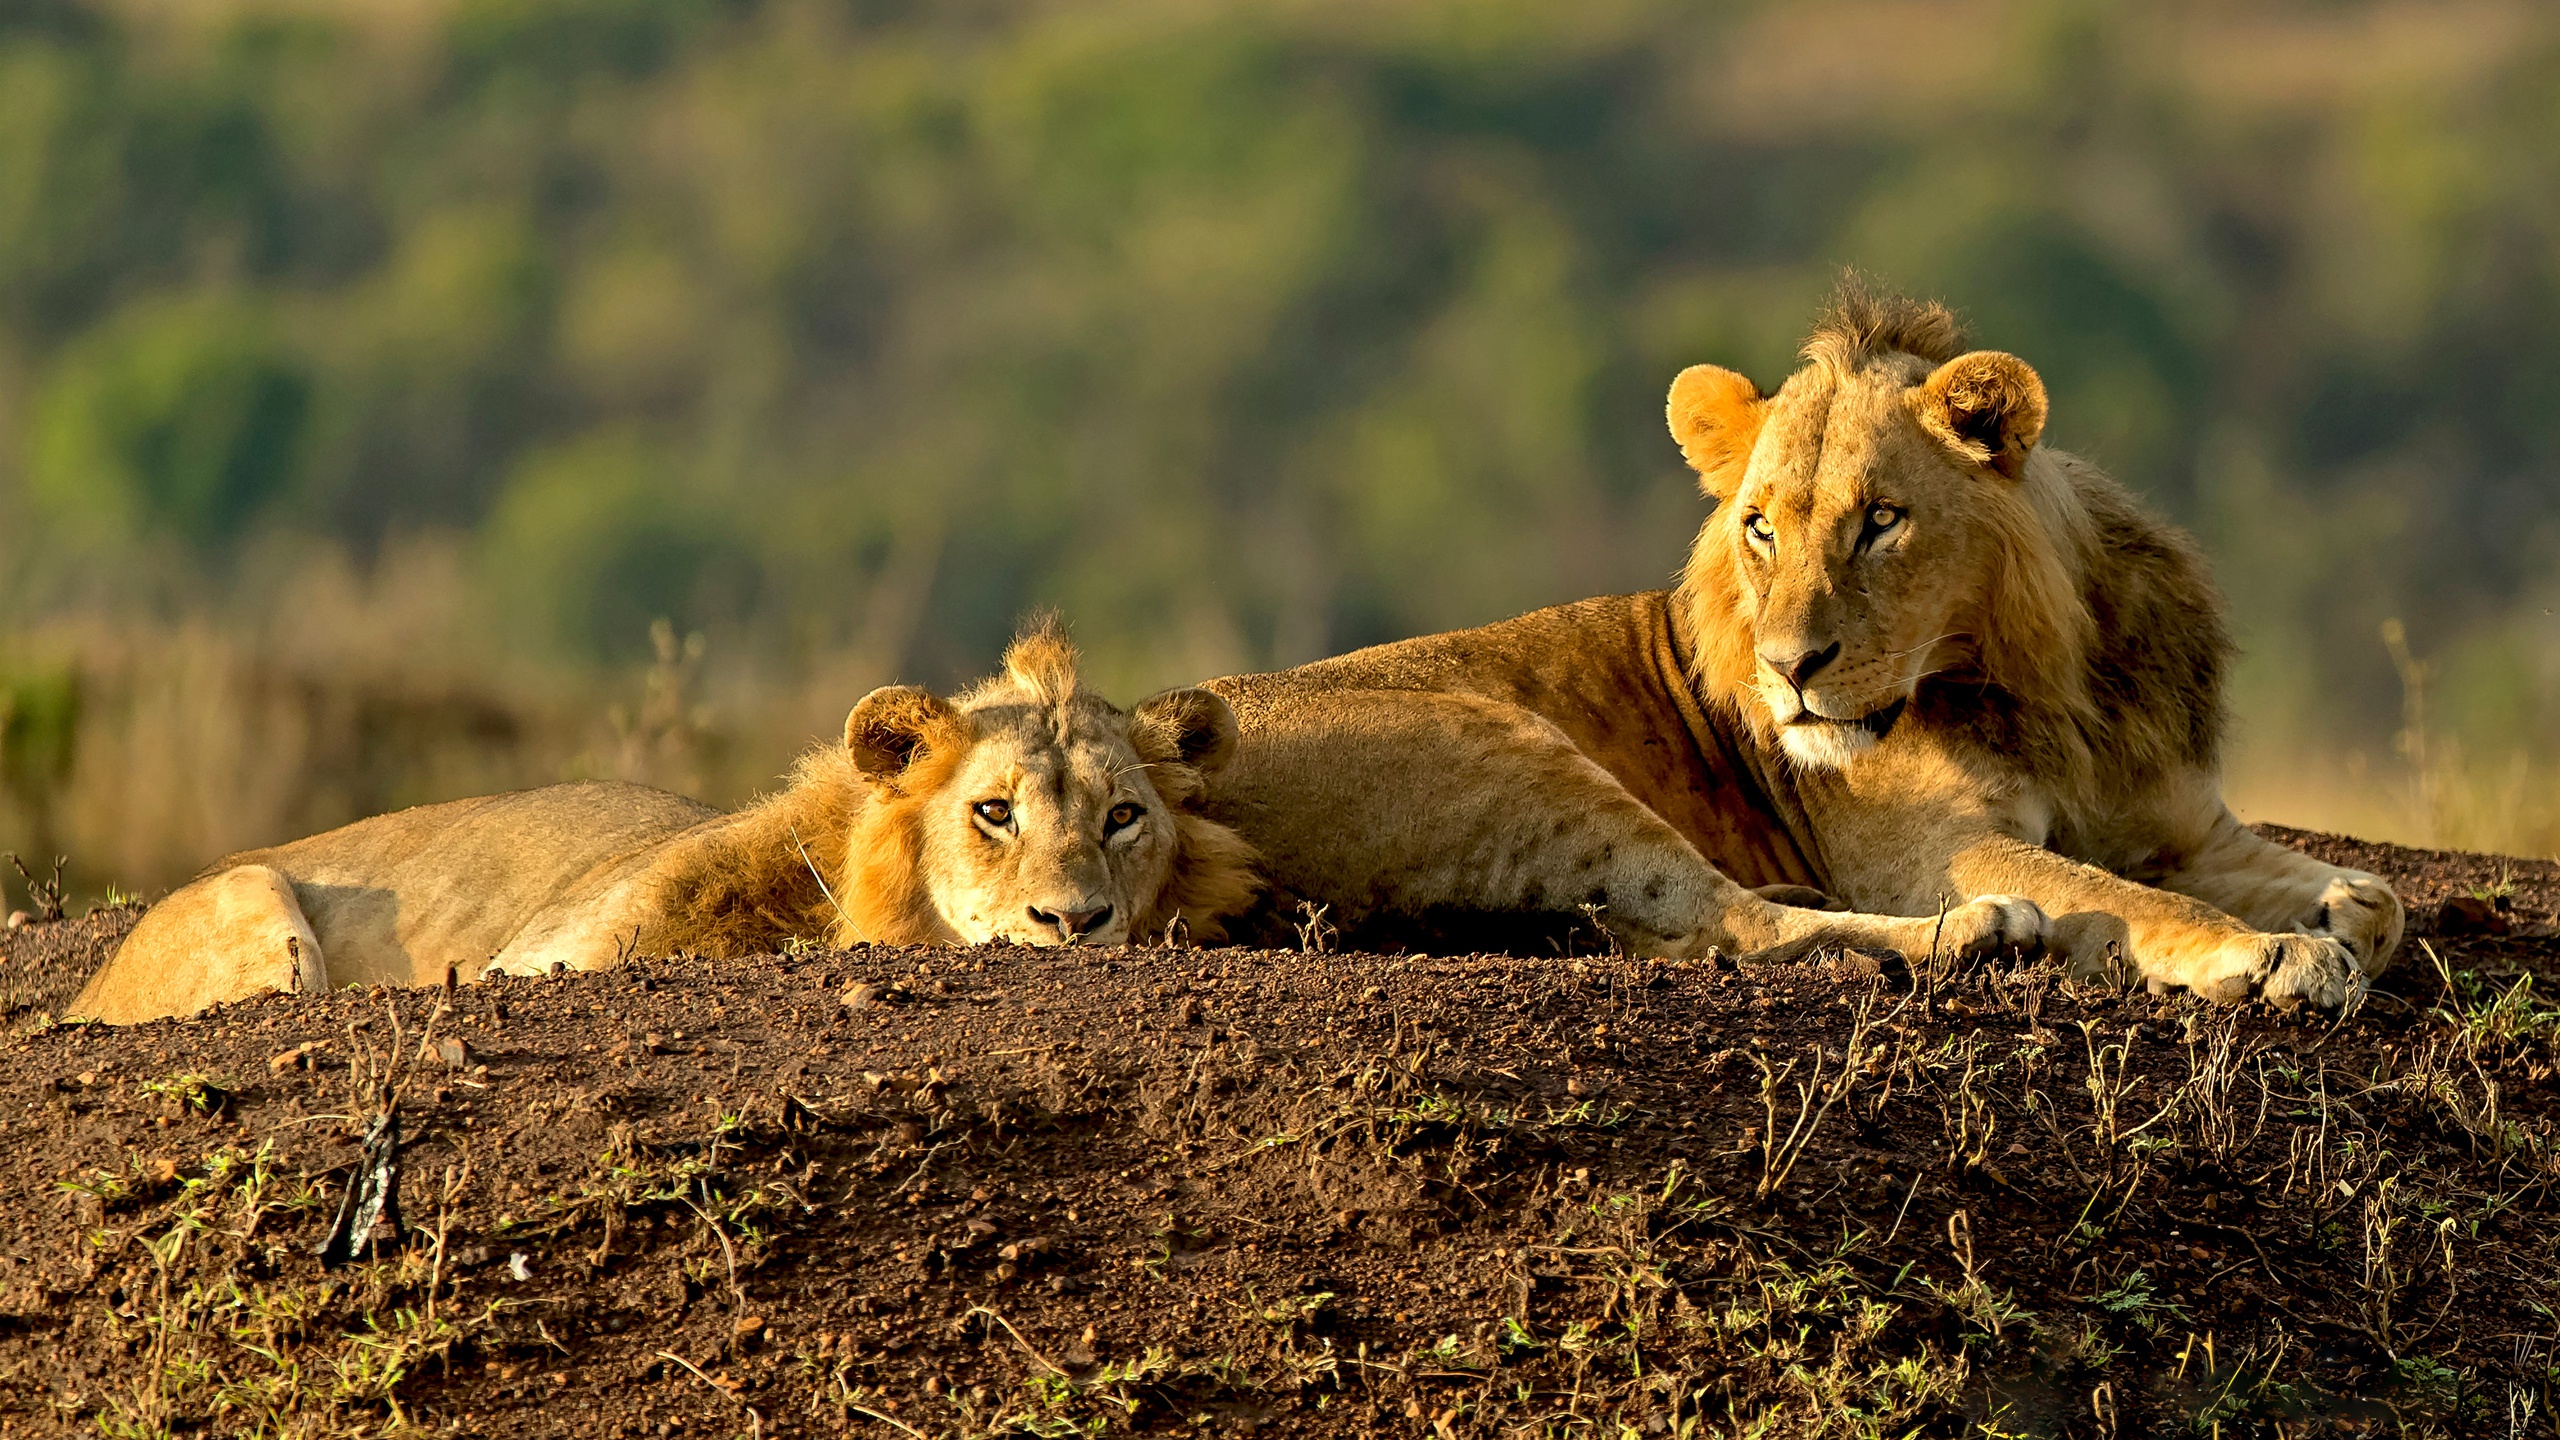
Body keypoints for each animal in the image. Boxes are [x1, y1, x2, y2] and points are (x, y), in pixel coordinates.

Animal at [1198, 274, 2396, 1004]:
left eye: (1881, 521)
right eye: (1760, 526)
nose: (1786, 672)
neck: (2049, 684)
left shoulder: (2185, 820)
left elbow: (2380, 898)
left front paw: (2331, 904)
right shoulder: (1926, 852)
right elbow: (2138, 895)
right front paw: (2269, 950)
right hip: (1506, 755)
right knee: (1715, 927)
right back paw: (1990, 931)